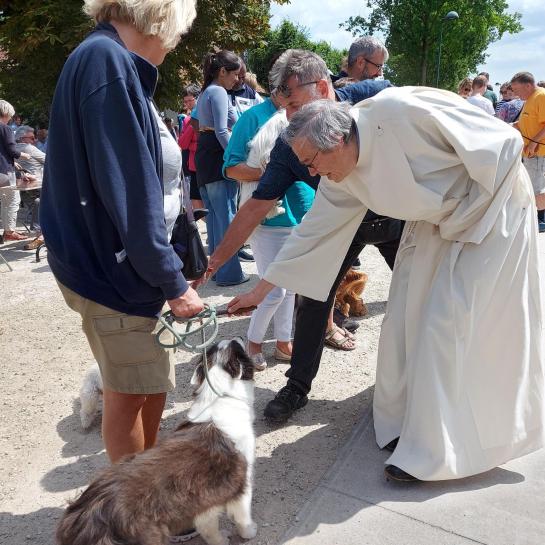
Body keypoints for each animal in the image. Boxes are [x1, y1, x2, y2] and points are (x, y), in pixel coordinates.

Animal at [58, 336, 258, 544]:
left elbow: (208, 527)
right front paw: (249, 532)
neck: (219, 396)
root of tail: (89, 514)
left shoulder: (204, 499)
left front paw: (219, 540)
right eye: (237, 346)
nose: (239, 337)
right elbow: (242, 516)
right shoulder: (242, 484)